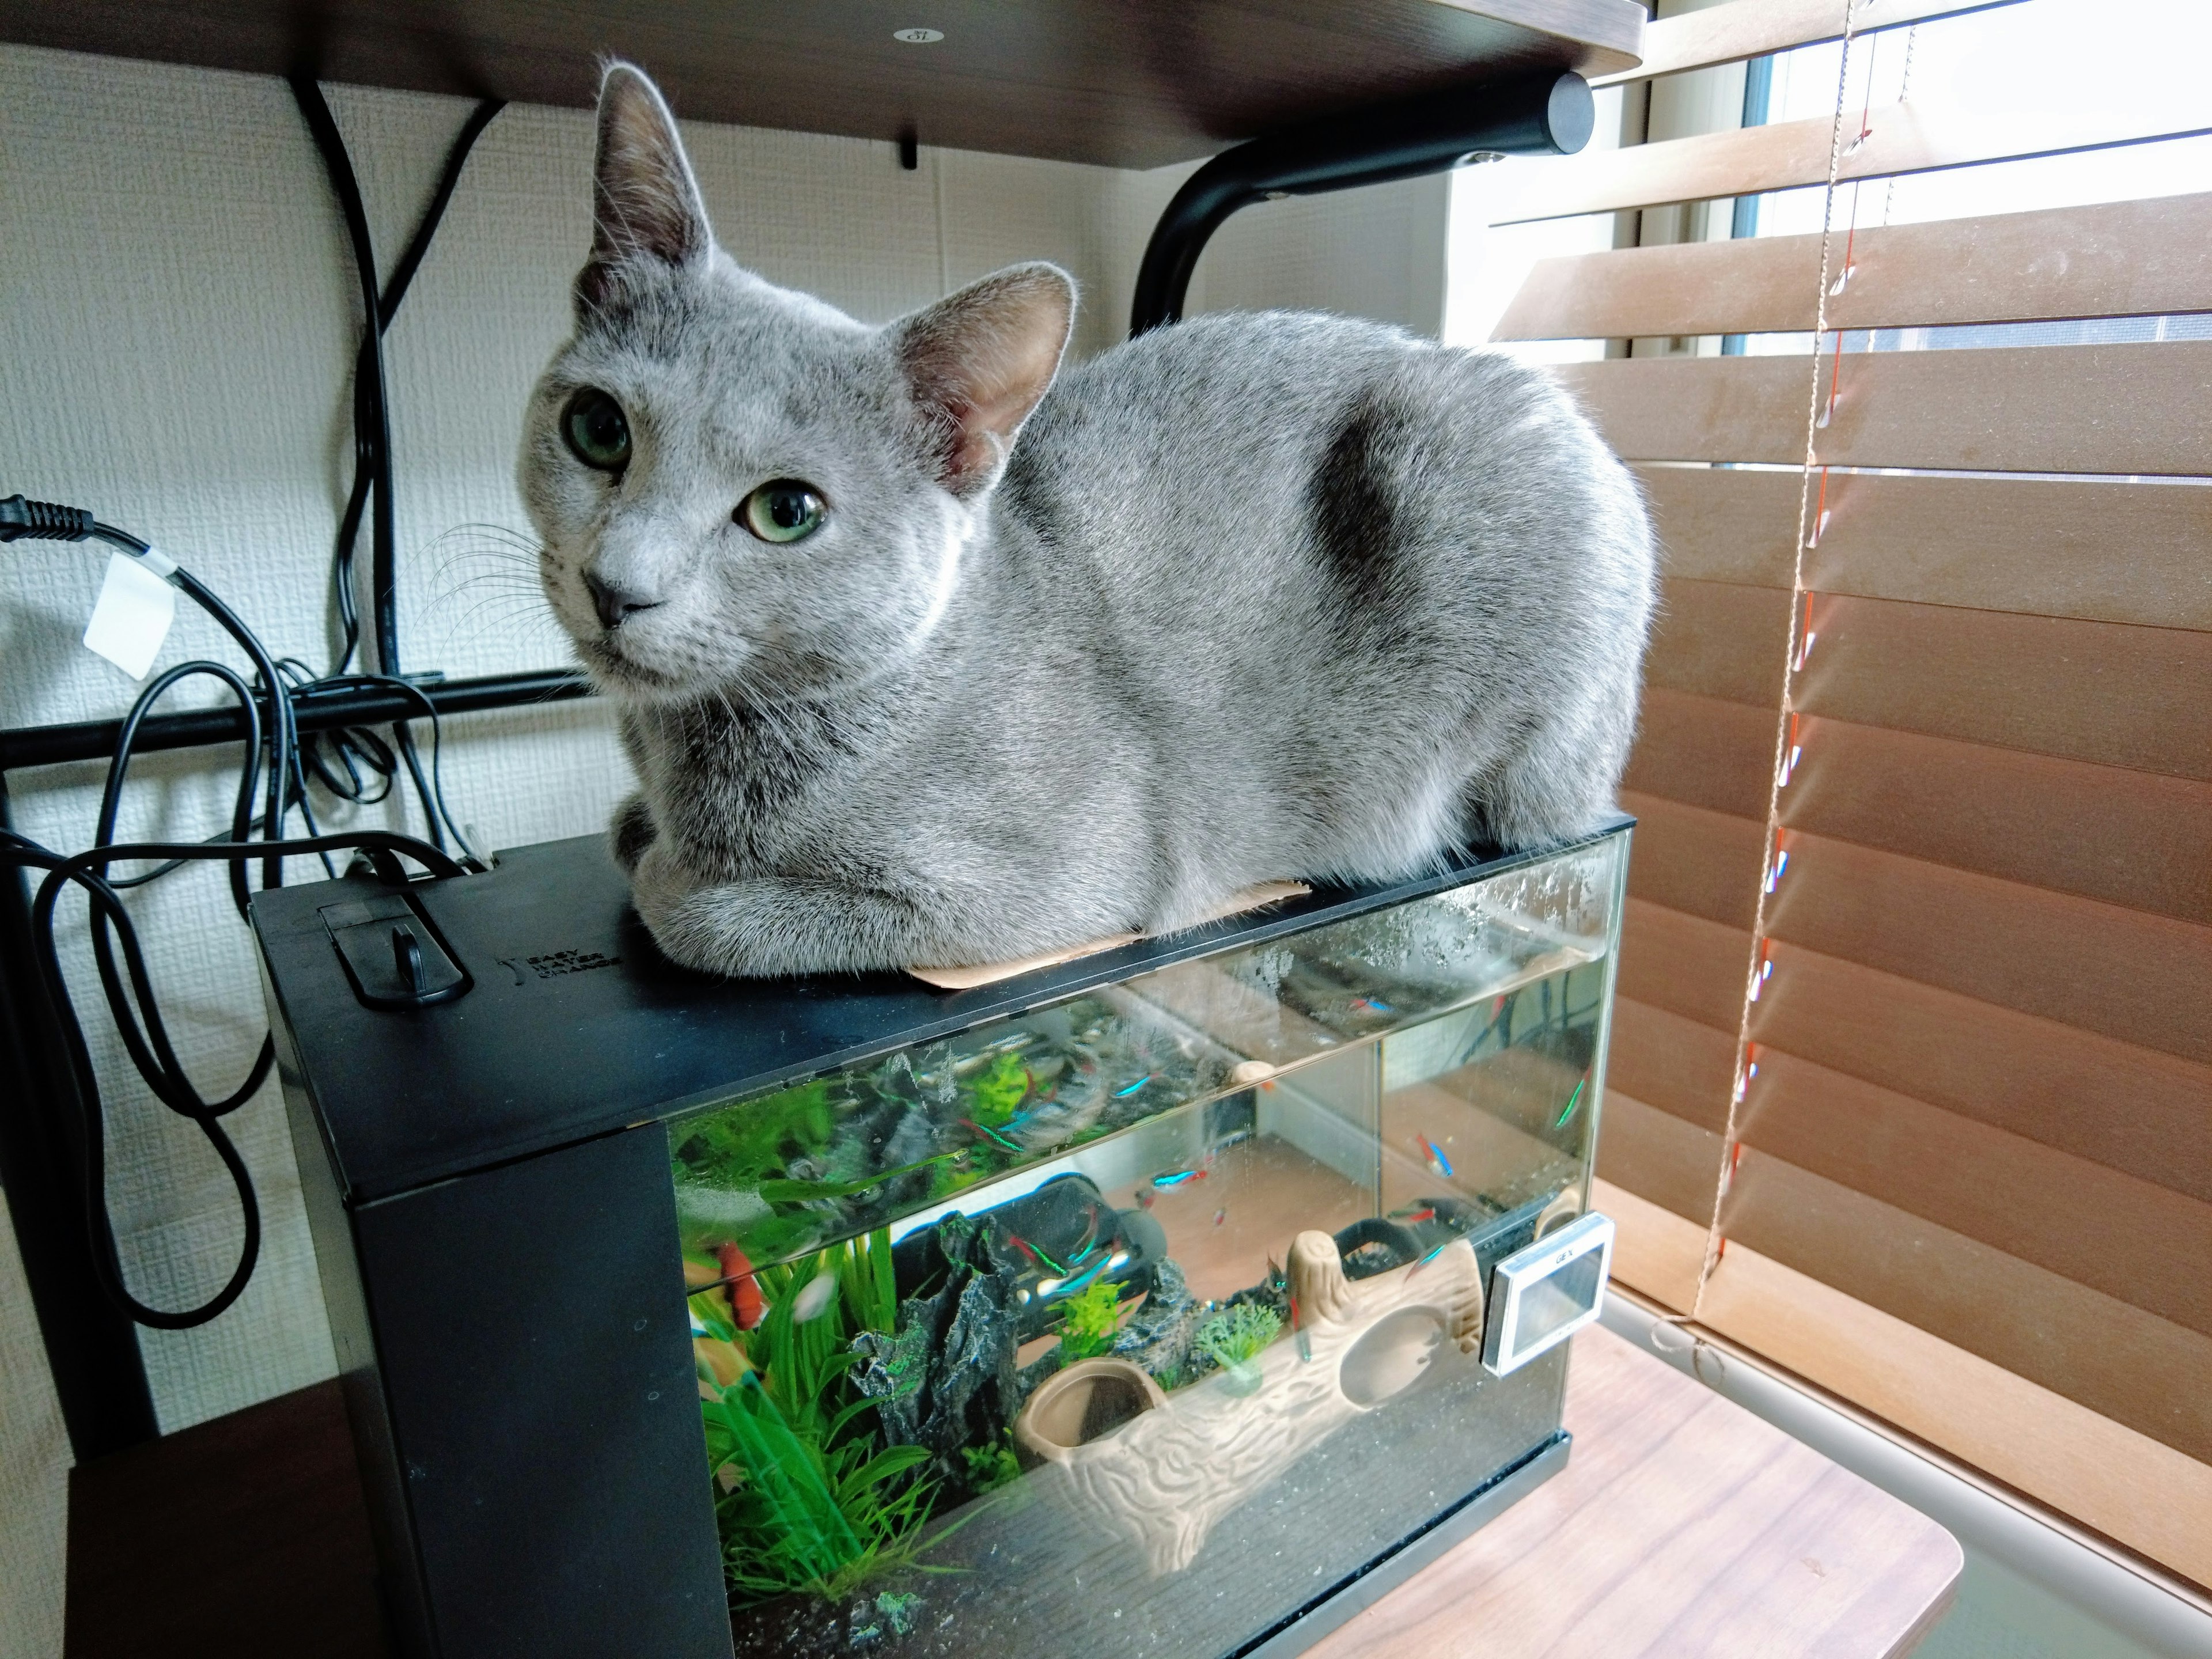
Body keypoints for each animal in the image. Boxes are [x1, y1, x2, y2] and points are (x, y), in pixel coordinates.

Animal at [517, 68, 1654, 973]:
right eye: (598, 430)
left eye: (786, 512)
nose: (617, 586)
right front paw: (639, 829)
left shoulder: (1049, 890)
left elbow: (706, 920)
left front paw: (667, 871)